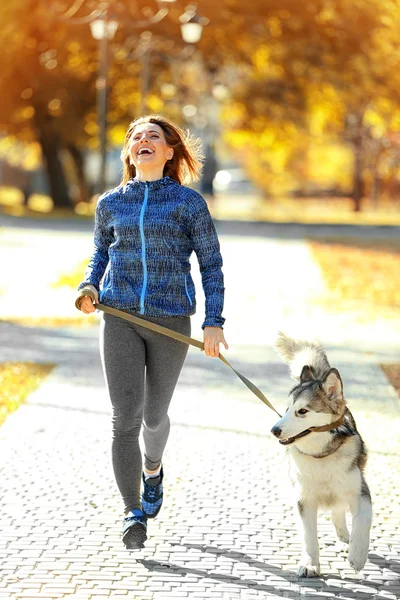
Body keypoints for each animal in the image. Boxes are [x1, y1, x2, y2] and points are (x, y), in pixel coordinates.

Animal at [272, 332, 372, 576]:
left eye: (302, 411)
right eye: (287, 409)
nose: (274, 430)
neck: (322, 456)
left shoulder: (361, 493)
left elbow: (363, 520)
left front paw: (357, 555)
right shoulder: (304, 499)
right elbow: (309, 537)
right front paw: (310, 564)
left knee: (339, 512)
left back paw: (346, 540)